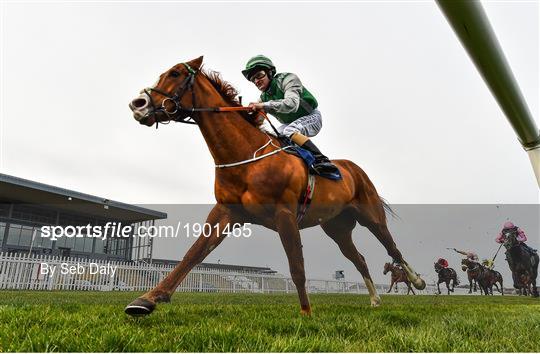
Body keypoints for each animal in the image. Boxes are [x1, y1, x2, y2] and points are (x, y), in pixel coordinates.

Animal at [125, 56, 426, 316]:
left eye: (175, 73)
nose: (138, 104)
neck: (246, 158)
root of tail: (353, 168)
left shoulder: (285, 215)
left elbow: (297, 267)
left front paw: (306, 313)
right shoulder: (226, 212)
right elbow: (193, 254)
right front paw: (147, 300)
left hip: (370, 216)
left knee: (392, 248)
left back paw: (417, 281)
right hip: (337, 227)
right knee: (359, 258)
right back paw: (375, 299)